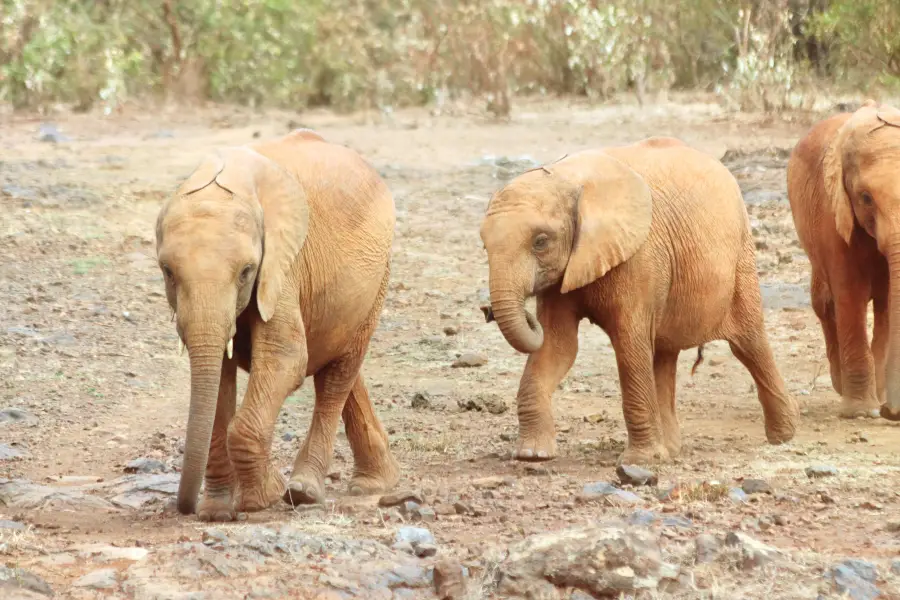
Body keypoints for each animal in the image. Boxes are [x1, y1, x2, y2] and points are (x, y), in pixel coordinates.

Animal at [156, 127, 400, 520]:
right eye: (167, 272)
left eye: (246, 272)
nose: (187, 509)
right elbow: (219, 378)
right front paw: (217, 511)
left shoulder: (283, 263)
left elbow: (286, 356)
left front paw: (262, 499)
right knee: (337, 357)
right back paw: (376, 483)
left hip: (379, 274)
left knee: (336, 375)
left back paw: (304, 491)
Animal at [482, 136, 800, 464]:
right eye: (483, 245)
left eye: (540, 242)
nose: (487, 310)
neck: (566, 178)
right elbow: (558, 346)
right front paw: (532, 454)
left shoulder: (639, 258)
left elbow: (629, 344)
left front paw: (639, 461)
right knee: (663, 354)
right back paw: (670, 451)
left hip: (741, 256)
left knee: (749, 343)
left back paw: (783, 436)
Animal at [788, 98, 900, 420]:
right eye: (865, 198)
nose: (892, 413)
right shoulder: (832, 213)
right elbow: (850, 294)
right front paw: (861, 412)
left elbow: (888, 300)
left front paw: (876, 403)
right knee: (825, 304)